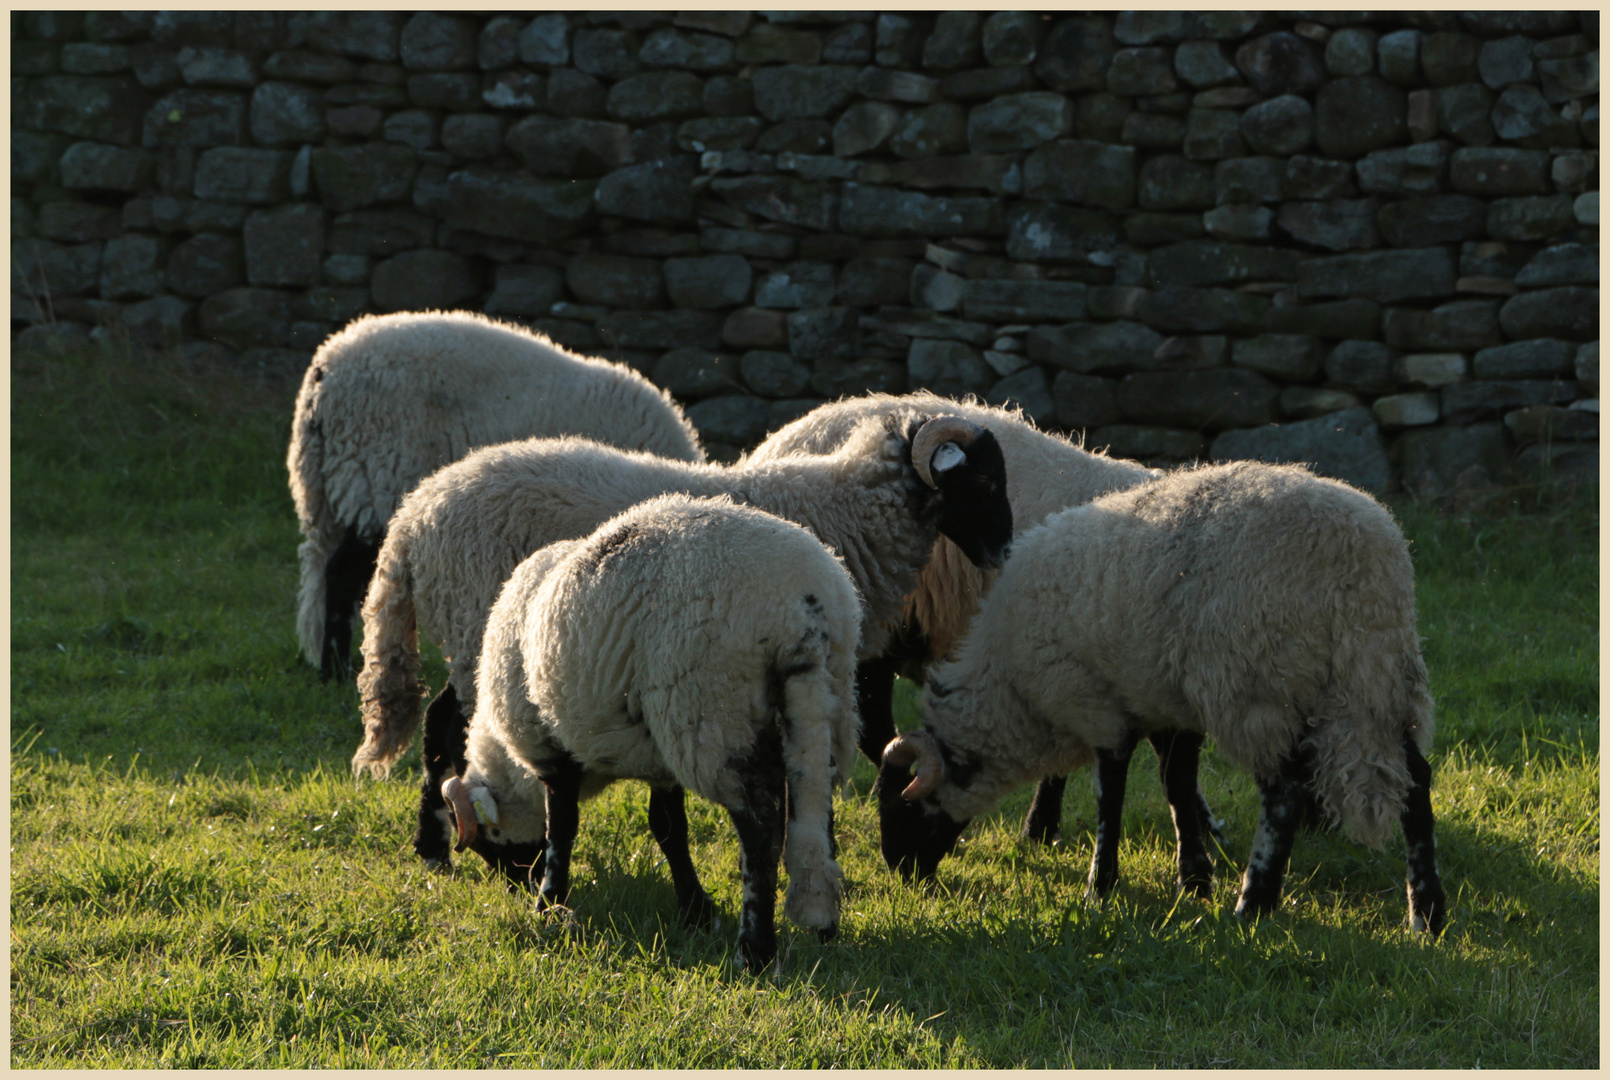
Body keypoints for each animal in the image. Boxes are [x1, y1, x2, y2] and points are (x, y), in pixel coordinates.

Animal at [286, 309, 701, 679]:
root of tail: (327, 368)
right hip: (374, 473)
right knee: (340, 572)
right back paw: (334, 670)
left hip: (327, 484)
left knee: (318, 567)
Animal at [350, 410, 1011, 875]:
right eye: (980, 479)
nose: (1004, 553)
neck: (849, 507)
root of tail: (412, 518)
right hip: (475, 627)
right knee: (445, 725)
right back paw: (434, 847)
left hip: (473, 634)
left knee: (440, 719)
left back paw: (434, 841)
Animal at [441, 495, 869, 978]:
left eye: (484, 840)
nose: (516, 883)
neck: (511, 765)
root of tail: (800, 604)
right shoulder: (658, 759)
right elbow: (668, 828)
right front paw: (695, 912)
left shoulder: (549, 747)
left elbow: (561, 826)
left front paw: (550, 903)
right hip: (825, 699)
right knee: (813, 803)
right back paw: (821, 920)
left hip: (711, 709)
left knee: (760, 825)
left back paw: (754, 952)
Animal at [875, 457, 1455, 939]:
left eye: (904, 803)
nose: (902, 872)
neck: (1012, 691)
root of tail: (1361, 561)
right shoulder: (1166, 702)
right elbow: (1176, 786)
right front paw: (1193, 879)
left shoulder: (1095, 701)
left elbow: (1110, 792)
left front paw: (1100, 885)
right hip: (1375, 673)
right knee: (1416, 781)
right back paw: (1425, 913)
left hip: (1260, 682)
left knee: (1284, 792)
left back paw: (1255, 902)